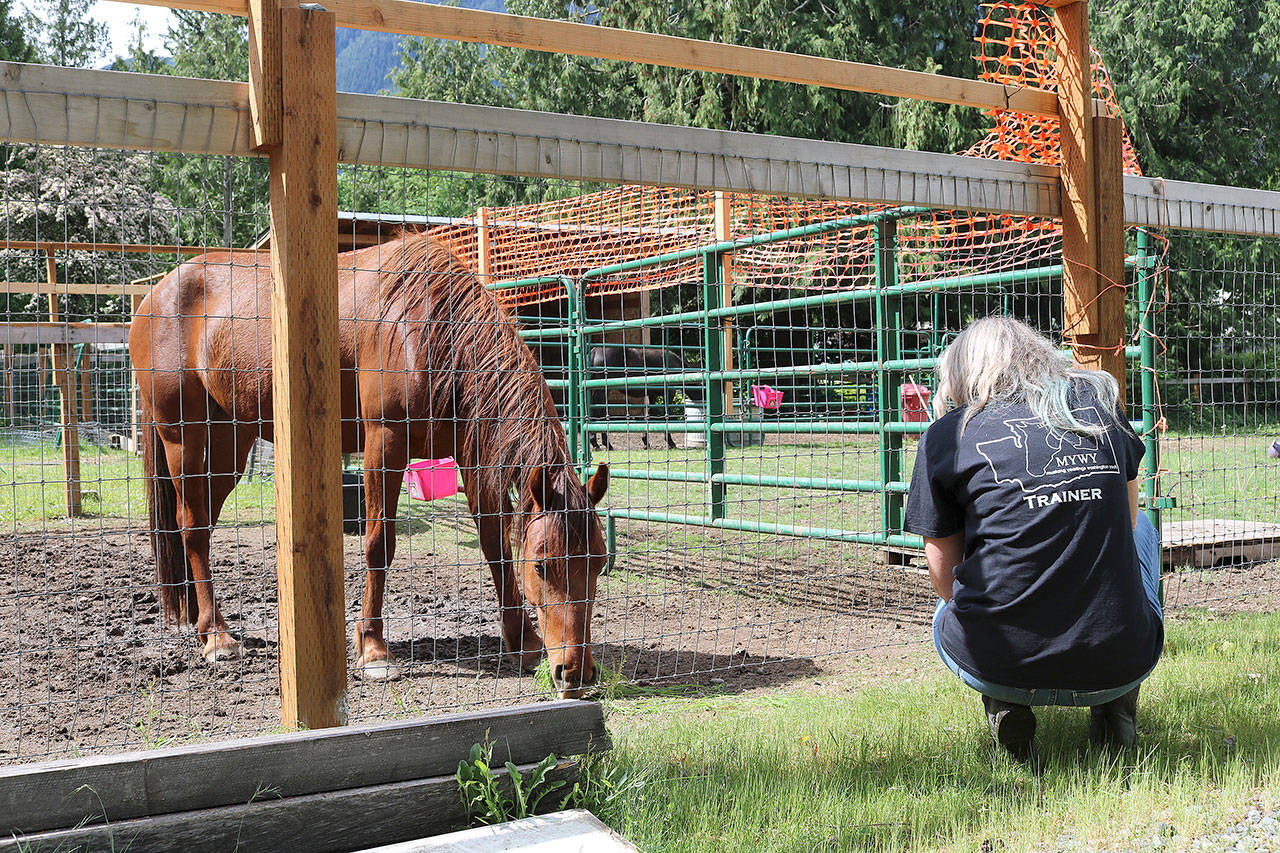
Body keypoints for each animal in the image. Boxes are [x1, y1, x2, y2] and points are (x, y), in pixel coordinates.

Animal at [129, 229, 609, 696]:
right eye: (543, 565)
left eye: (599, 563)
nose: (575, 672)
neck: (428, 330)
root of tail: (154, 297)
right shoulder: (385, 442)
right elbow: (380, 543)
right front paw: (374, 649)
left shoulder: (471, 456)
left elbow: (494, 543)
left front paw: (522, 640)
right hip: (183, 437)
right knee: (191, 525)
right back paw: (216, 636)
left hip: (231, 441)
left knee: (201, 524)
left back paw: (199, 619)